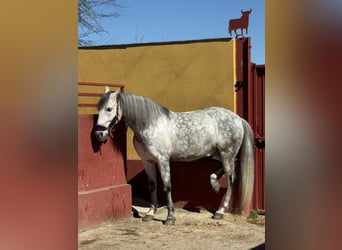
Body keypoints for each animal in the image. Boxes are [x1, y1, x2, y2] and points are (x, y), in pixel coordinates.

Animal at [94, 87, 254, 226]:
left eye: (109, 109)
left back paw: (220, 211)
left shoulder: (163, 160)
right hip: (219, 154)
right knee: (231, 167)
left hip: (227, 154)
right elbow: (152, 186)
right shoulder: (147, 161)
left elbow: (167, 186)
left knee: (231, 180)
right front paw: (150, 213)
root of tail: (238, 118)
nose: (99, 134)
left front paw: (170, 217)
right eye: (98, 108)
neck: (150, 125)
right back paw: (214, 182)